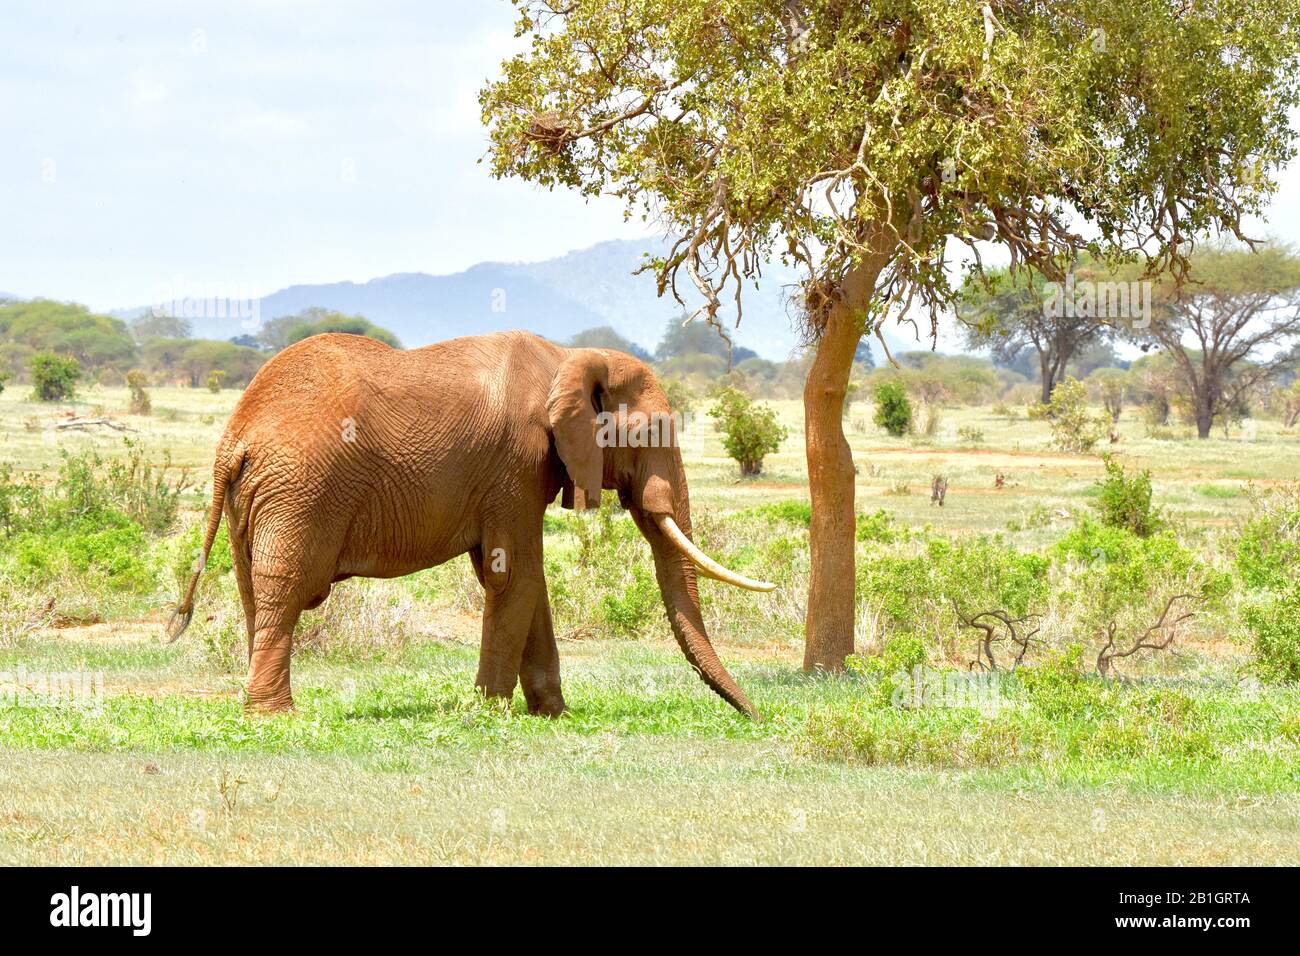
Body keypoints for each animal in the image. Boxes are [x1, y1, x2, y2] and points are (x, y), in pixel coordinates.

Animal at [167, 331, 772, 718]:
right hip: (299, 491)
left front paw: (552, 714)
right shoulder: (517, 463)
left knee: (254, 588)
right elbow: (515, 575)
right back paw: (276, 716)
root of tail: (235, 436)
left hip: (260, 496)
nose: (756, 715)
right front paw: (490, 710)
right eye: (652, 433)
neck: (568, 359)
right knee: (287, 587)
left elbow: (521, 579)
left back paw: (257, 706)